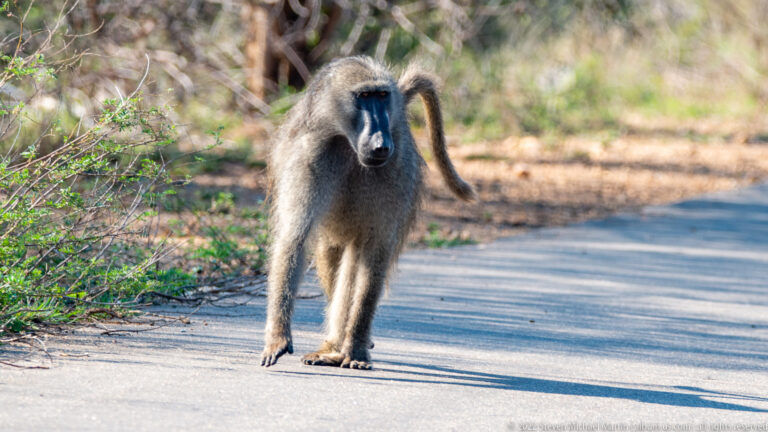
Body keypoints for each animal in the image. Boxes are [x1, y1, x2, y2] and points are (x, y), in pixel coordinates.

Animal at [260, 56, 476, 370]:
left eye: (382, 96)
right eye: (363, 97)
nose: (380, 144)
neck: (345, 143)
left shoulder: (396, 169)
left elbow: (375, 250)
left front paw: (358, 351)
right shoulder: (306, 158)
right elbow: (294, 238)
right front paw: (278, 337)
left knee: (353, 262)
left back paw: (341, 349)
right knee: (329, 255)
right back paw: (331, 347)